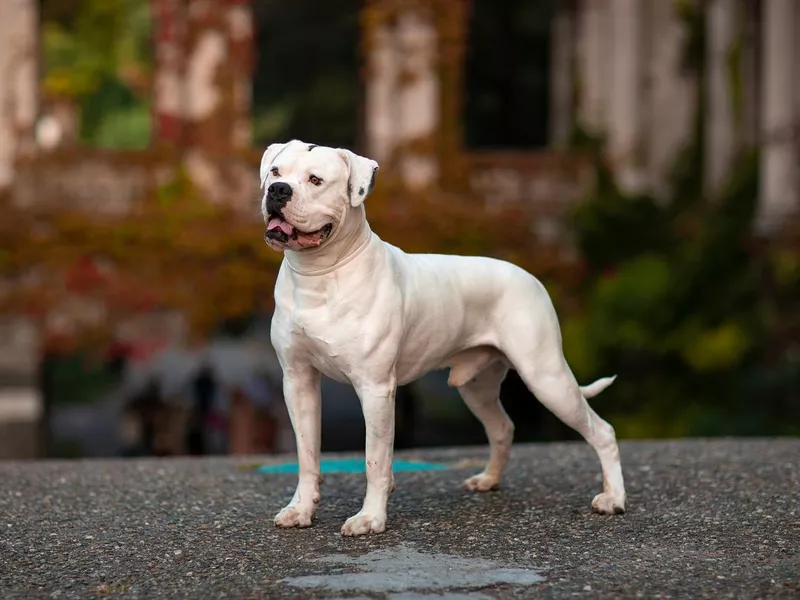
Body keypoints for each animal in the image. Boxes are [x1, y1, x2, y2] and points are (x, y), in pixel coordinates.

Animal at [262, 142, 624, 540]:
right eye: (276, 172)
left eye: (315, 180)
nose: (277, 191)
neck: (319, 274)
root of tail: (530, 276)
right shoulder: (298, 382)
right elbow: (307, 454)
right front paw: (300, 509)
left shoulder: (375, 388)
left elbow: (375, 459)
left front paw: (370, 518)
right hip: (477, 386)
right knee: (502, 427)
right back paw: (489, 480)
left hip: (547, 378)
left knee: (602, 431)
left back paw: (613, 499)